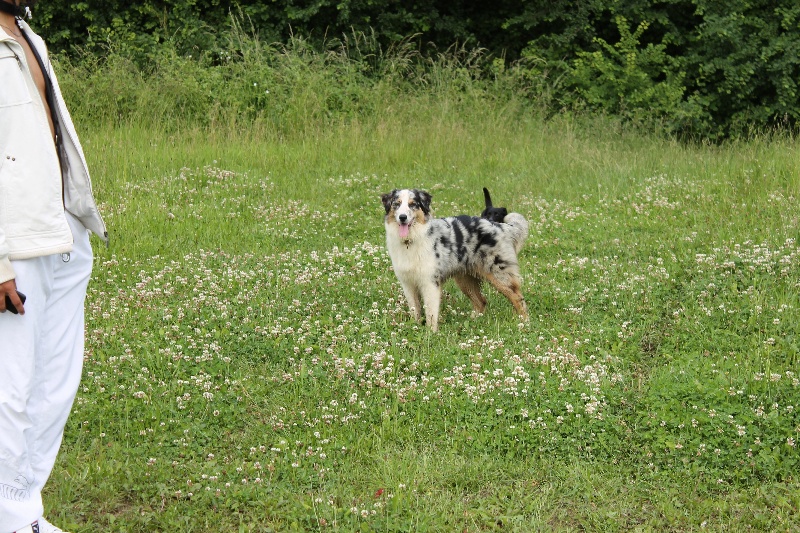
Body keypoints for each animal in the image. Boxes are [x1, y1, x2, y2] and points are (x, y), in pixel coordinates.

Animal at [380, 187, 528, 328]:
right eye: (396, 204)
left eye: (412, 204)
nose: (402, 217)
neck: (410, 241)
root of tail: (500, 226)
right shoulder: (408, 283)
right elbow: (414, 310)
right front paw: (415, 327)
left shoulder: (430, 282)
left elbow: (431, 313)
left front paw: (430, 333)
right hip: (465, 279)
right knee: (481, 301)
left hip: (499, 275)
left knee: (518, 298)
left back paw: (524, 323)